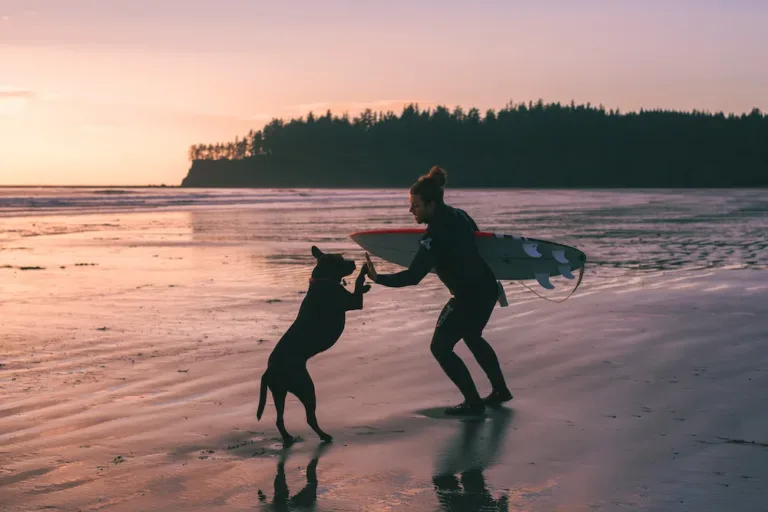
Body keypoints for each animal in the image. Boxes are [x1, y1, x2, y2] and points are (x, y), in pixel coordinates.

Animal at [256, 244, 370, 444]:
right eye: (340, 260)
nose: (353, 262)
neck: (323, 279)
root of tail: (269, 370)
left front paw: (365, 285)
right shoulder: (353, 302)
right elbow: (357, 286)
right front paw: (364, 272)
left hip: (279, 392)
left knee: (280, 418)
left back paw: (288, 438)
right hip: (306, 388)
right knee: (310, 417)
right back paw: (324, 436)